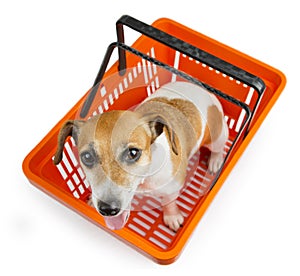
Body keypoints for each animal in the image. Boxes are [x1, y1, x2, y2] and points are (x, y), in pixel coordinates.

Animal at [54, 81, 229, 232]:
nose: (108, 209)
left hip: (218, 137)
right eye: (87, 157)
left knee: (218, 149)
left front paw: (172, 216)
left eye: (133, 153)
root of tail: (203, 90)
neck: (145, 179)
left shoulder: (173, 188)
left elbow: (169, 202)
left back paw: (215, 161)